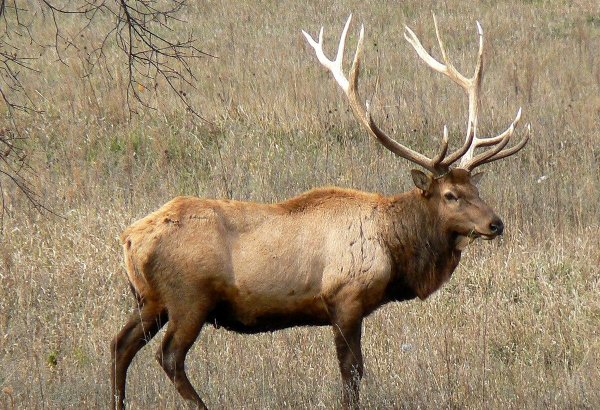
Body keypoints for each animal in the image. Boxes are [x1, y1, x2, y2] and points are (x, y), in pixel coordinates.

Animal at [110, 13, 528, 410]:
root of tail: (129, 238)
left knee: (119, 345)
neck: (394, 249)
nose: (496, 224)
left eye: (476, 188)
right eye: (450, 195)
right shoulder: (345, 299)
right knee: (168, 357)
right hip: (188, 298)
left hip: (150, 300)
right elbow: (352, 373)